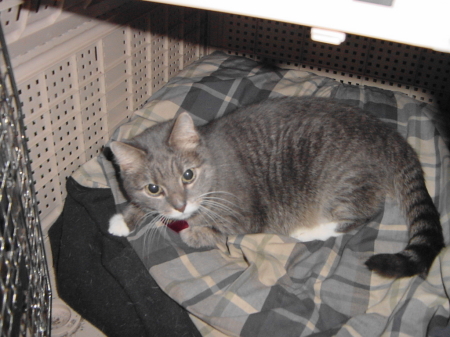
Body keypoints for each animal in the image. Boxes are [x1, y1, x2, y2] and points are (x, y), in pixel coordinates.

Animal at [108, 96, 442, 276]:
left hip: (343, 183)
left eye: (188, 175)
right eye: (153, 189)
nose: (179, 206)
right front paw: (125, 219)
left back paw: (309, 230)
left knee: (361, 215)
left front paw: (196, 230)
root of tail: (391, 136)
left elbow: (202, 231)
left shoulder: (245, 216)